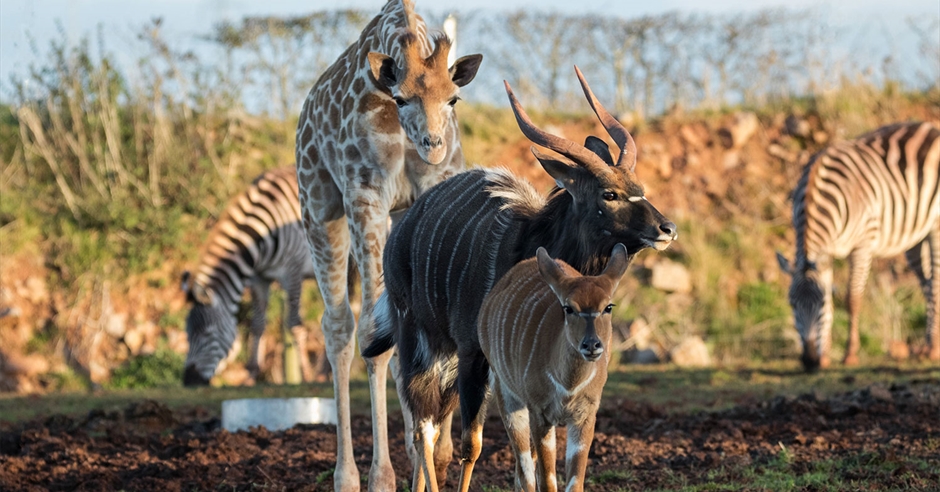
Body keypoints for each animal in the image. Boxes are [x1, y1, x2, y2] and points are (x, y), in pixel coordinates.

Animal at [180, 167, 320, 386]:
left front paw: (306, 376)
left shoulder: (293, 272)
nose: (188, 381)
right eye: (187, 335)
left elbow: (294, 324)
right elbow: (258, 324)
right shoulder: (259, 279)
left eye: (207, 334)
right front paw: (252, 373)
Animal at [296, 1, 484, 490]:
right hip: (318, 208)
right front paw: (384, 476)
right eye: (400, 99)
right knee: (340, 327)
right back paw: (348, 475)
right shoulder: (366, 198)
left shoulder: (430, 191)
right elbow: (371, 334)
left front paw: (437, 456)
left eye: (453, 99)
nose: (434, 145)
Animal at [482, 244, 628, 492]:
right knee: (525, 471)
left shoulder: (585, 416)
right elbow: (548, 480)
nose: (591, 345)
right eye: (568, 308)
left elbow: (574, 482)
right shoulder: (540, 414)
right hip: (506, 394)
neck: (569, 385)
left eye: (608, 307)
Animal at [780, 122, 940, 368]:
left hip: (935, 226)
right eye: (792, 304)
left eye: (821, 305)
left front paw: (850, 354)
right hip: (914, 237)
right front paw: (825, 356)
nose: (809, 361)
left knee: (936, 282)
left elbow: (852, 298)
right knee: (928, 283)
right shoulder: (827, 253)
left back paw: (933, 350)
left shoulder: (862, 244)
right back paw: (928, 346)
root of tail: (930, 127)